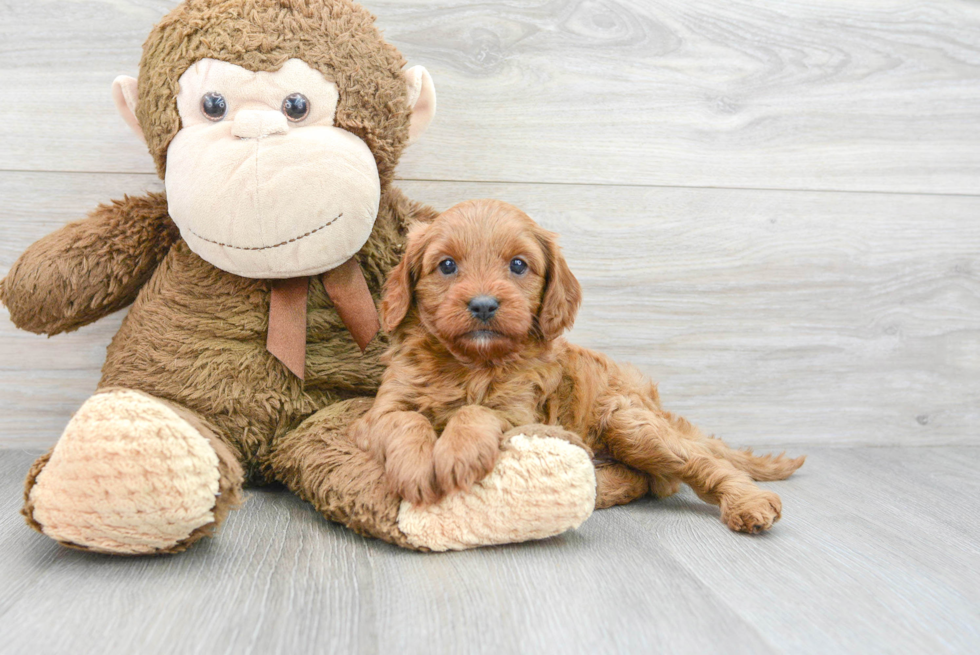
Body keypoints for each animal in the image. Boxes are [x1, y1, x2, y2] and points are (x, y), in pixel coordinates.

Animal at [352, 199, 804, 532]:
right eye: (447, 265)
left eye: (518, 265)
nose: (483, 305)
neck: (470, 363)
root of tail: (652, 402)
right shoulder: (382, 408)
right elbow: (405, 420)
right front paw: (414, 467)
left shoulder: (520, 413)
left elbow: (476, 412)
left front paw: (456, 454)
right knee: (643, 479)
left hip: (631, 424)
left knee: (701, 464)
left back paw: (748, 502)